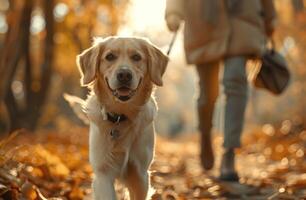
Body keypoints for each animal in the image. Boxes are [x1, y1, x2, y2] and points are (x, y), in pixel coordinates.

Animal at [64, 36, 167, 200]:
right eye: (110, 56)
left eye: (136, 57)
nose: (124, 75)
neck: (120, 116)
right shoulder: (103, 173)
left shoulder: (140, 174)